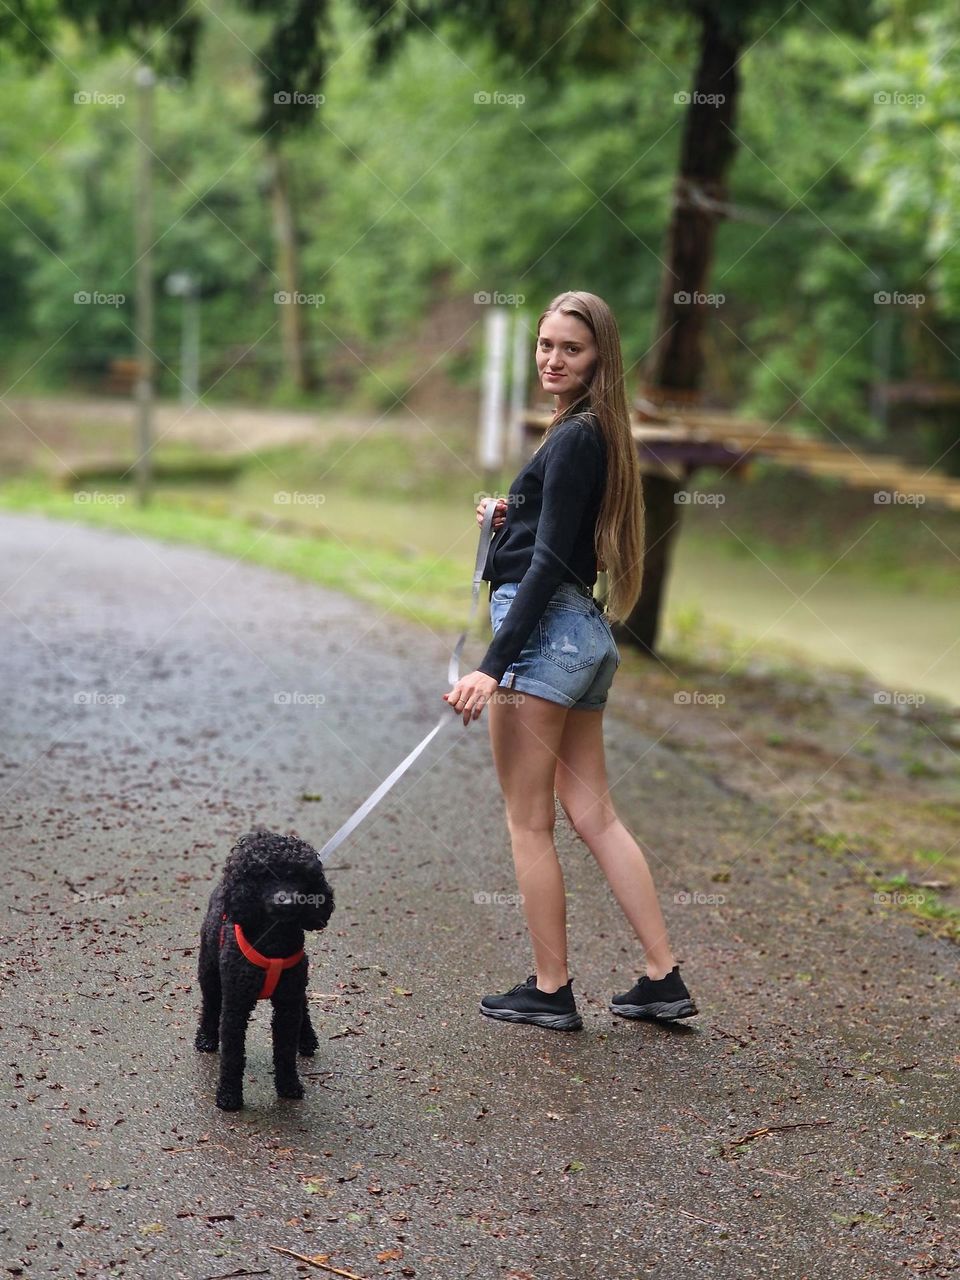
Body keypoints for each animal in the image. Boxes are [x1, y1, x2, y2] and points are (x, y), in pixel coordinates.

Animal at [193, 829, 335, 1111]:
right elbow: (233, 1053)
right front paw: (229, 1096)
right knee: (210, 1003)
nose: (287, 901)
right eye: (265, 875)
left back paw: (307, 1039)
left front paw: (289, 1086)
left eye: (298, 876)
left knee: (304, 1005)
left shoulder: (288, 1001)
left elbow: (285, 1050)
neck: (273, 941)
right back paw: (206, 1038)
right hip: (209, 970)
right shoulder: (236, 1003)